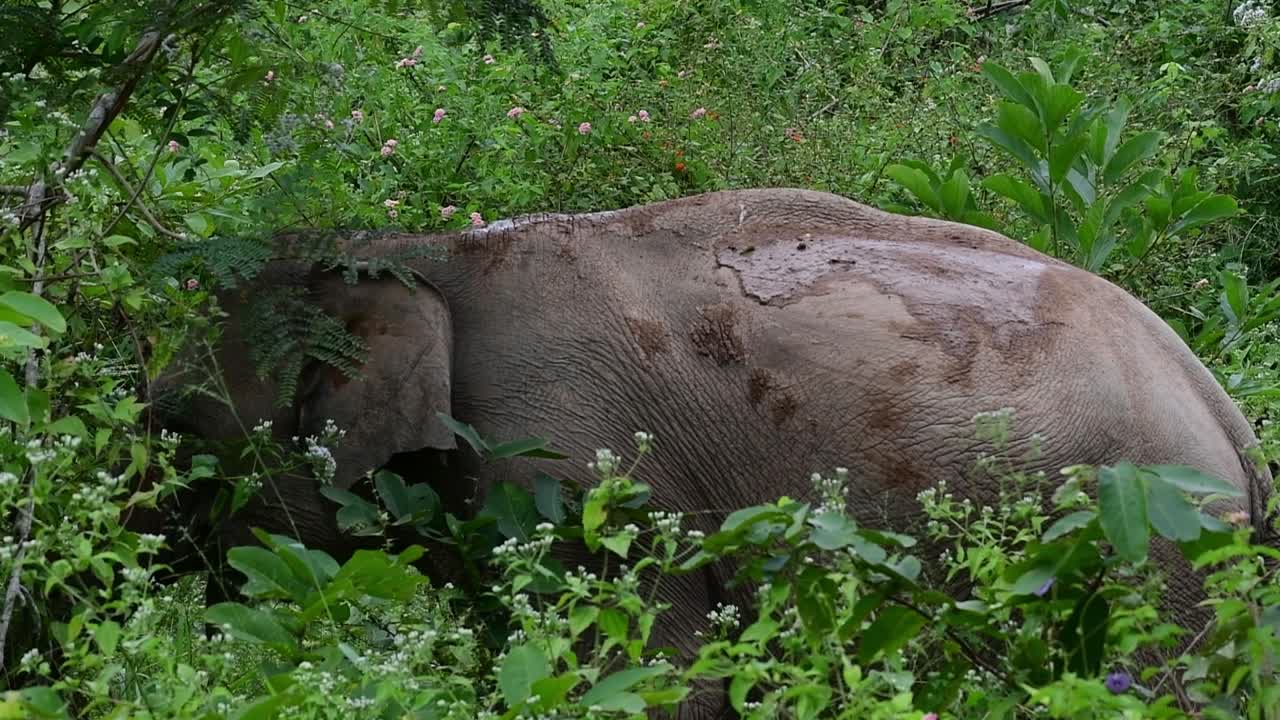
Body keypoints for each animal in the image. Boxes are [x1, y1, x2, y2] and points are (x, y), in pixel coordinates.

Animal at [147, 188, 1272, 718]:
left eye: (176, 428)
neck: (412, 250)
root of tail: (1225, 417)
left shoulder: (571, 462)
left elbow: (654, 675)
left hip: (1153, 552)